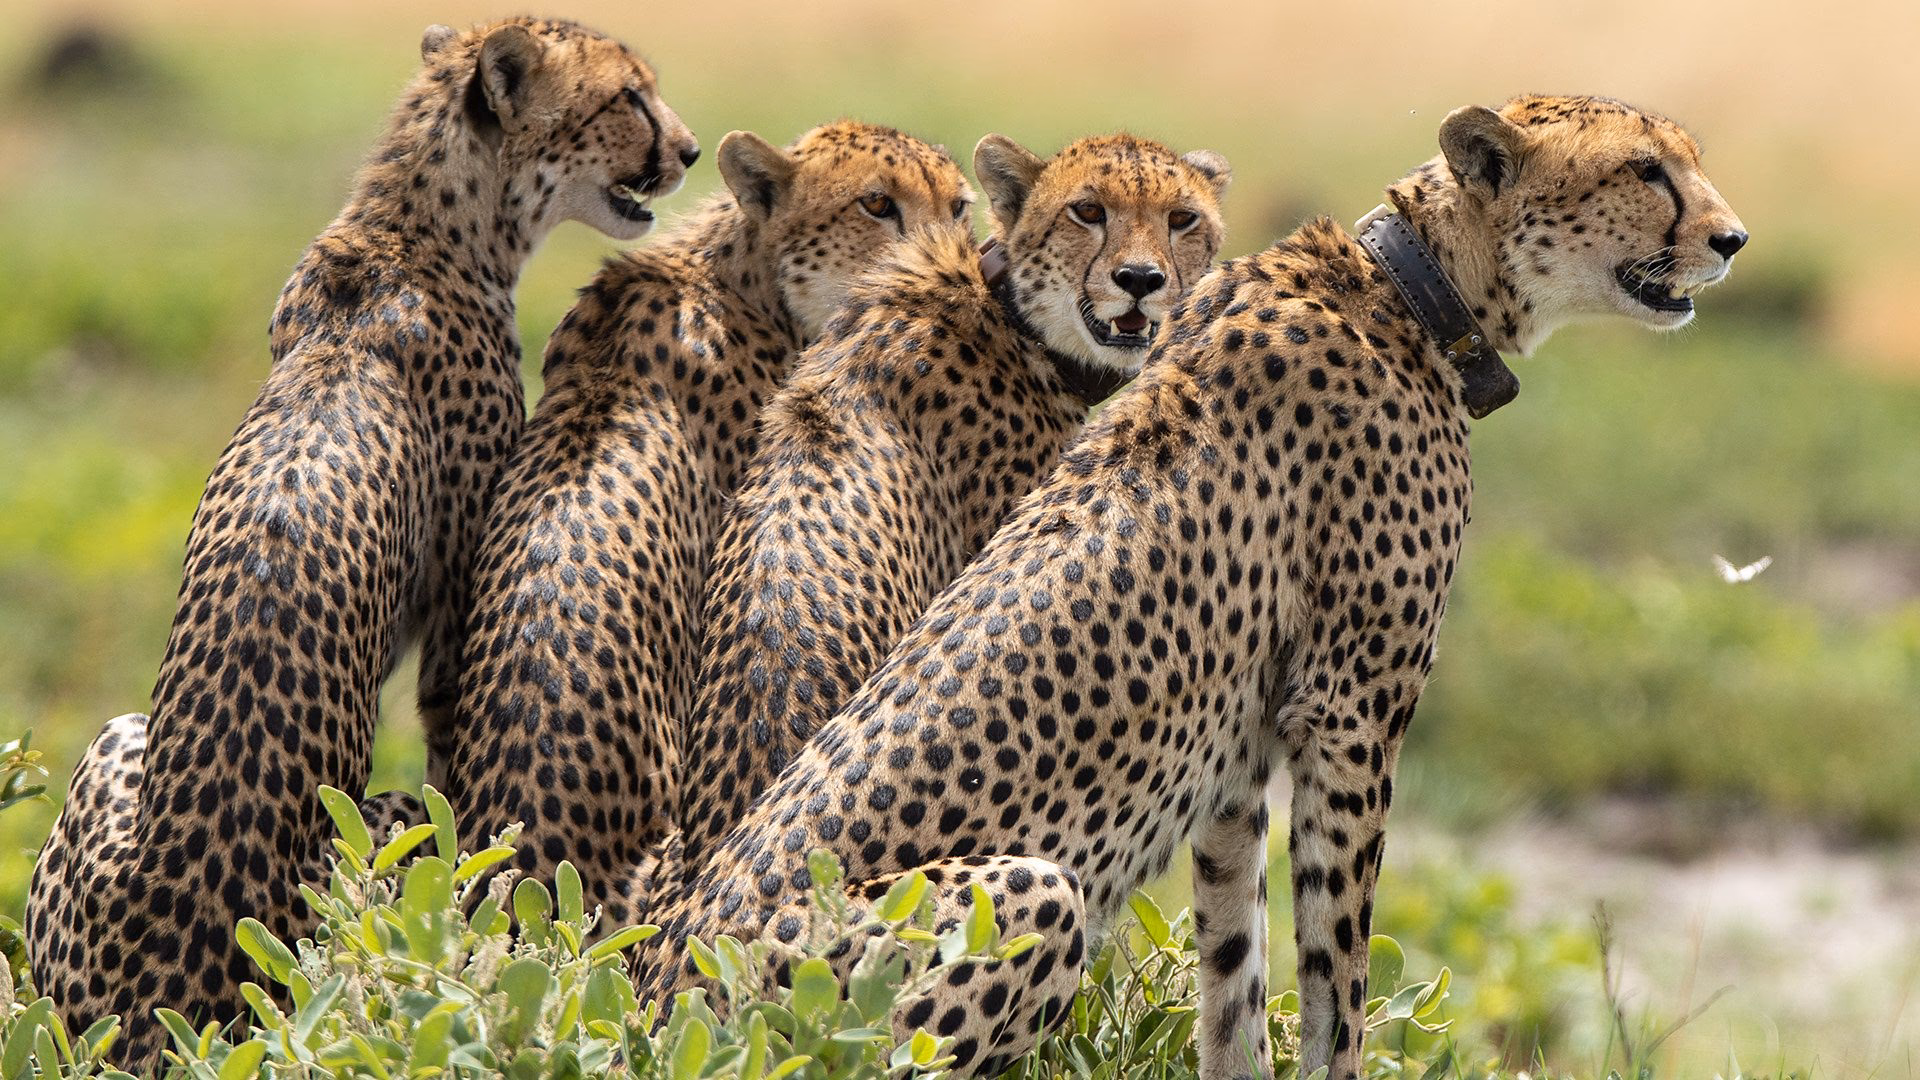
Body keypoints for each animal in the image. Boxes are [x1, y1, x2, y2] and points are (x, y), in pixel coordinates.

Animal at [25, 18, 699, 1070]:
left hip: (110, 754)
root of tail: (143, 1019)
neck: (417, 225)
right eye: (629, 95)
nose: (691, 150)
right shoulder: (458, 602)